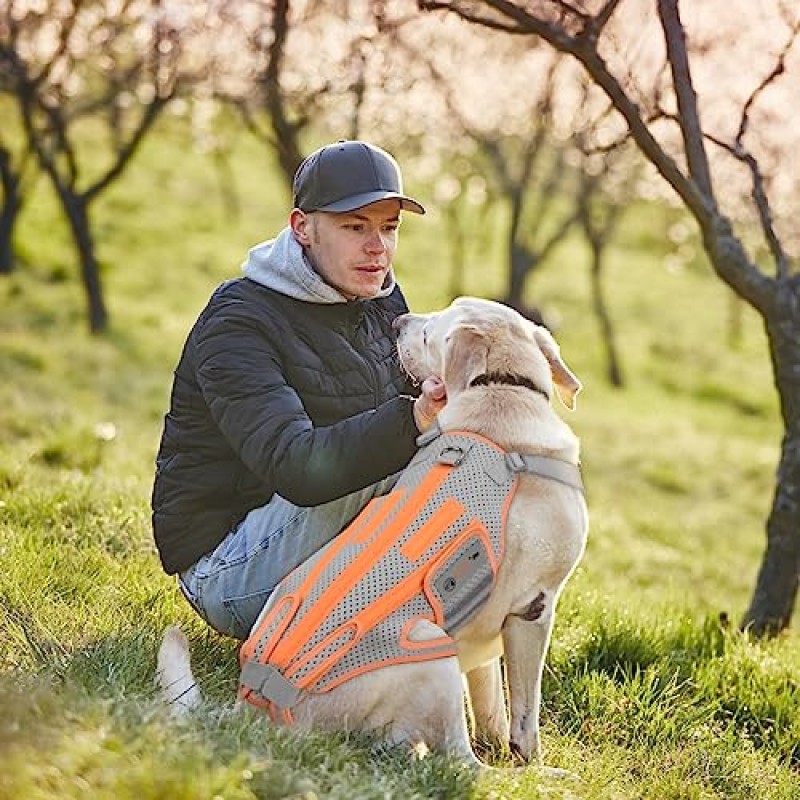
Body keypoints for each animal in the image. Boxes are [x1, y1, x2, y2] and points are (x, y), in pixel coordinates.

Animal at [158, 298, 588, 768]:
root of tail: (258, 701)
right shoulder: (534, 607)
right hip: (430, 646)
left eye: (428, 332)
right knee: (459, 761)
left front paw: (497, 741)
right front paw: (530, 765)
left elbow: (490, 700)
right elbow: (525, 717)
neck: (501, 390)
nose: (397, 322)